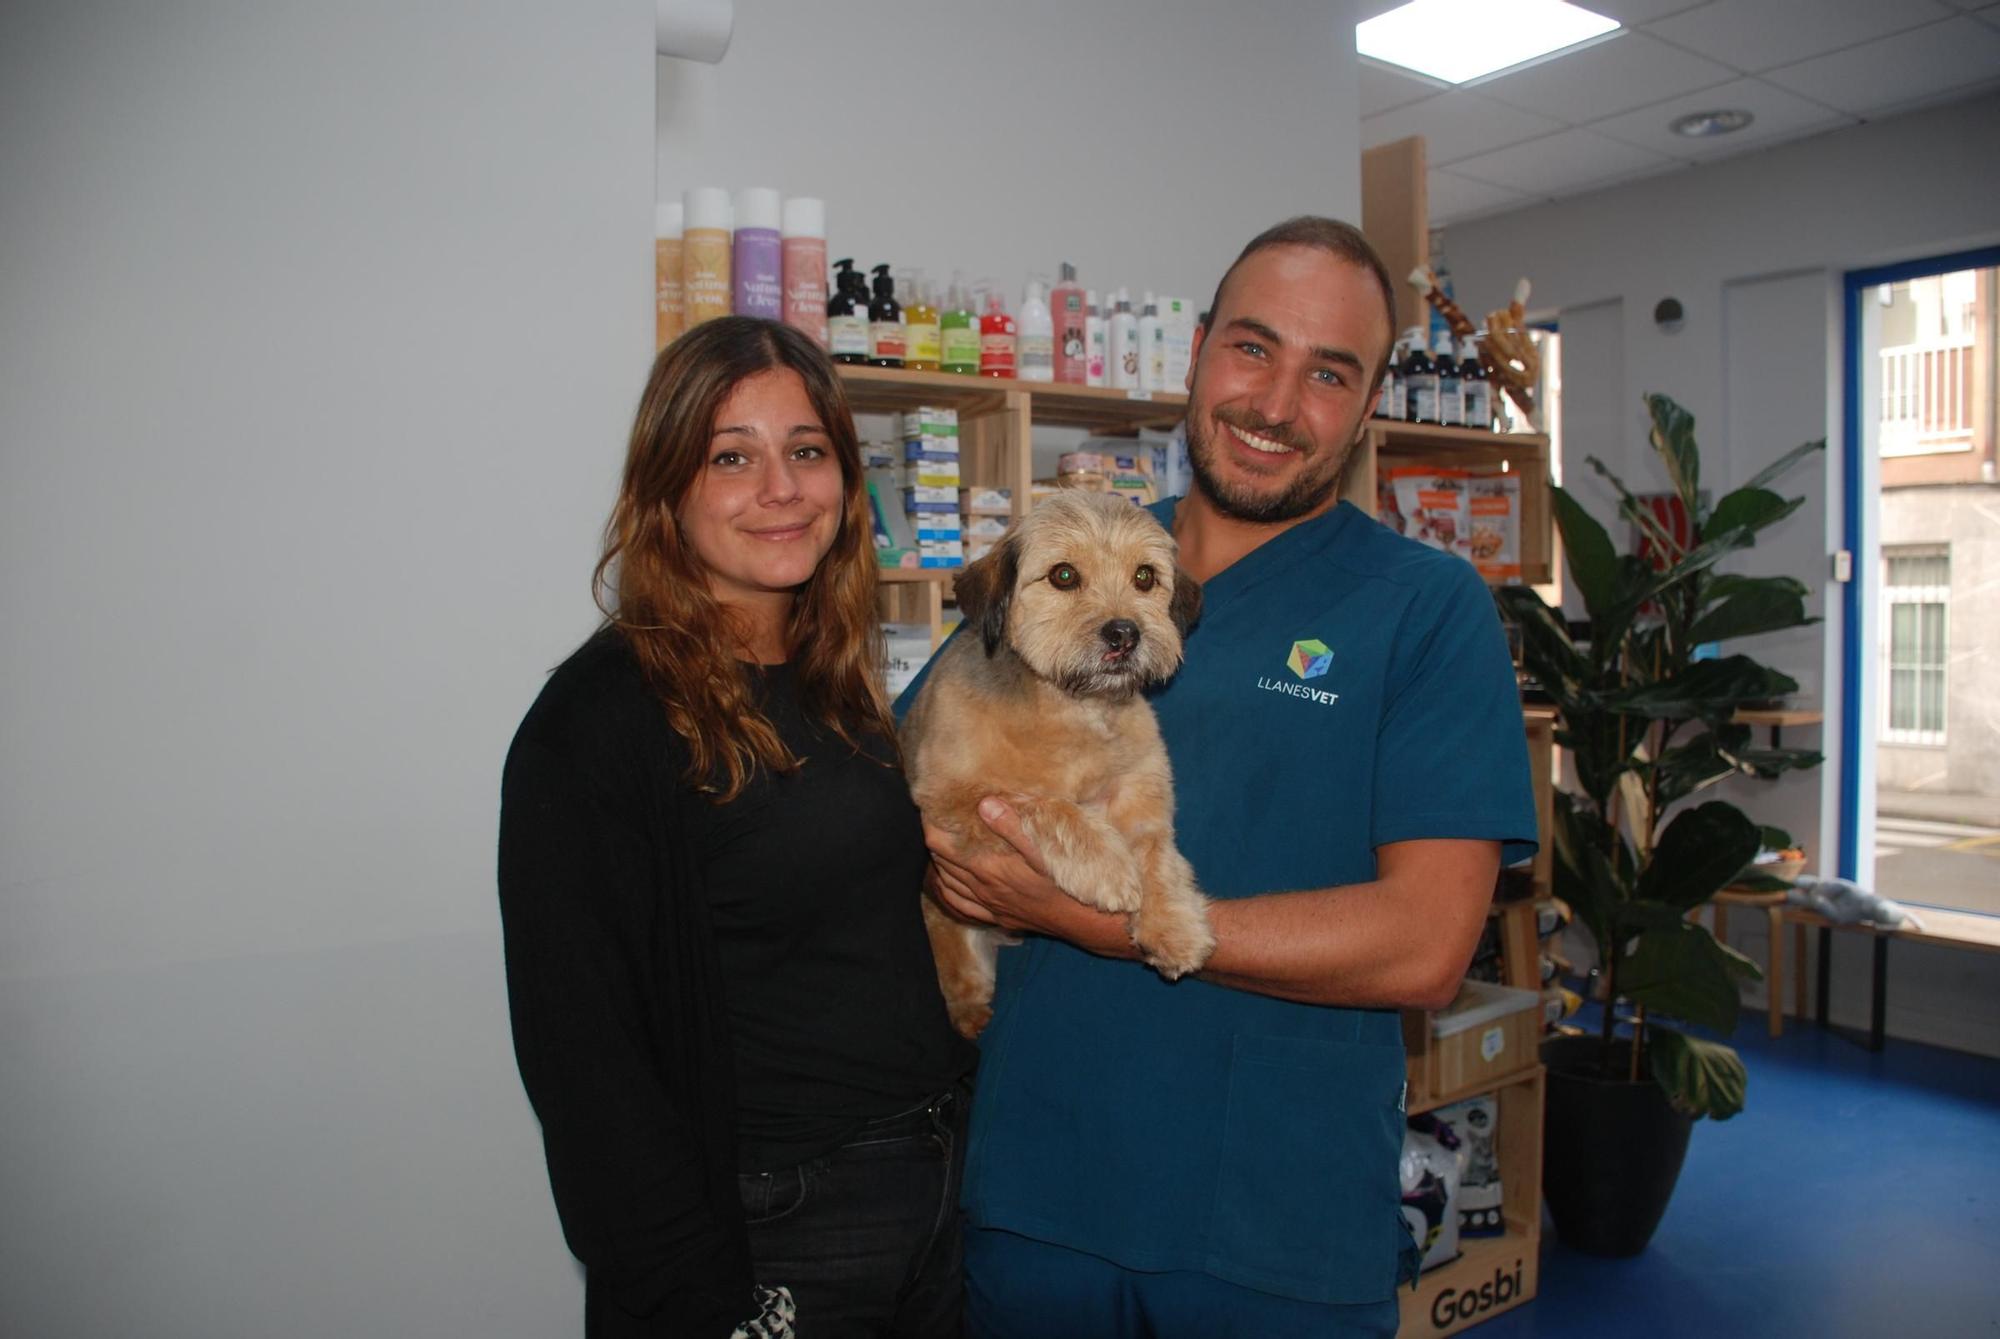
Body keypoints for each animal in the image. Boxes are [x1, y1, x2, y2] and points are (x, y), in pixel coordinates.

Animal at [904, 487, 1208, 1047]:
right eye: (1063, 575)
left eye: (1145, 576)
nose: (1124, 634)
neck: (1071, 708)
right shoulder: (948, 798)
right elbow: (1042, 804)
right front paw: (1107, 865)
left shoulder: (1142, 797)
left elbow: (1158, 856)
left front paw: (1174, 926)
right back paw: (971, 1014)